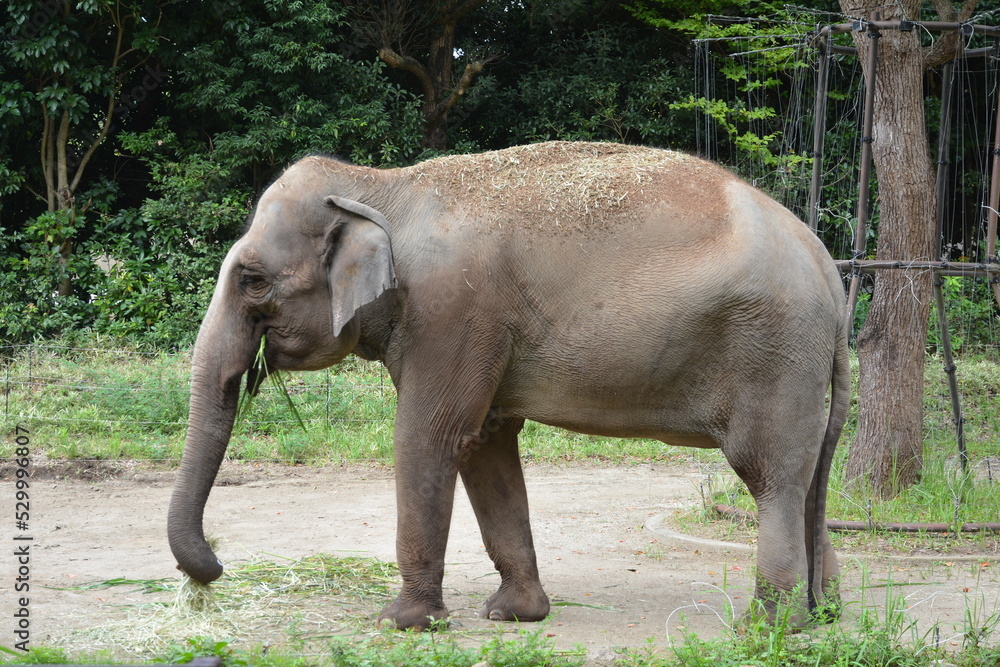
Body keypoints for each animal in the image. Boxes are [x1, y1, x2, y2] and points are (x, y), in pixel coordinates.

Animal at [167, 141, 850, 631]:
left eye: (253, 280)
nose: (212, 570)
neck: (379, 184)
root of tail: (829, 270)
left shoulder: (452, 310)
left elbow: (430, 437)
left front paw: (400, 622)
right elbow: (484, 443)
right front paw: (514, 616)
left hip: (773, 352)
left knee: (771, 476)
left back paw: (768, 627)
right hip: (800, 361)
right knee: (808, 478)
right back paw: (823, 614)